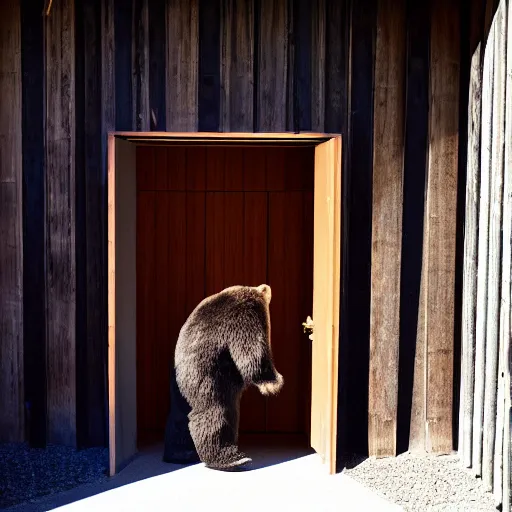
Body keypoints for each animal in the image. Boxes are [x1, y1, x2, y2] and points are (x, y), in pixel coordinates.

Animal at [173, 286, 284, 470]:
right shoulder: (243, 315)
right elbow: (250, 351)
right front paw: (272, 383)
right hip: (208, 375)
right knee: (216, 410)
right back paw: (232, 458)